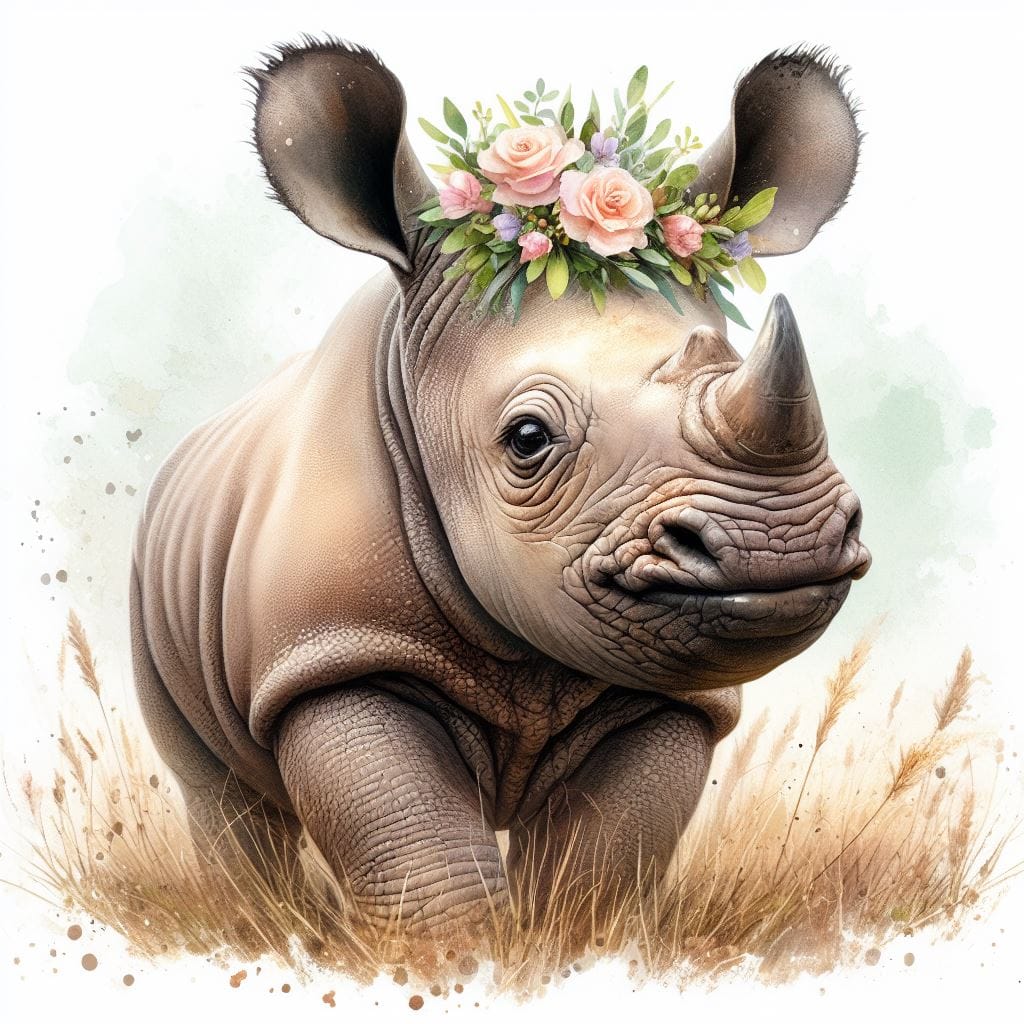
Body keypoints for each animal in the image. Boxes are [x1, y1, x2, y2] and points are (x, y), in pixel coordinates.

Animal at [130, 38, 870, 935]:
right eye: (527, 440)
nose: (779, 542)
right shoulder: (332, 651)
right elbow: (424, 866)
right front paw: (456, 959)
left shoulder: (671, 690)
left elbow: (602, 864)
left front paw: (567, 949)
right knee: (220, 795)